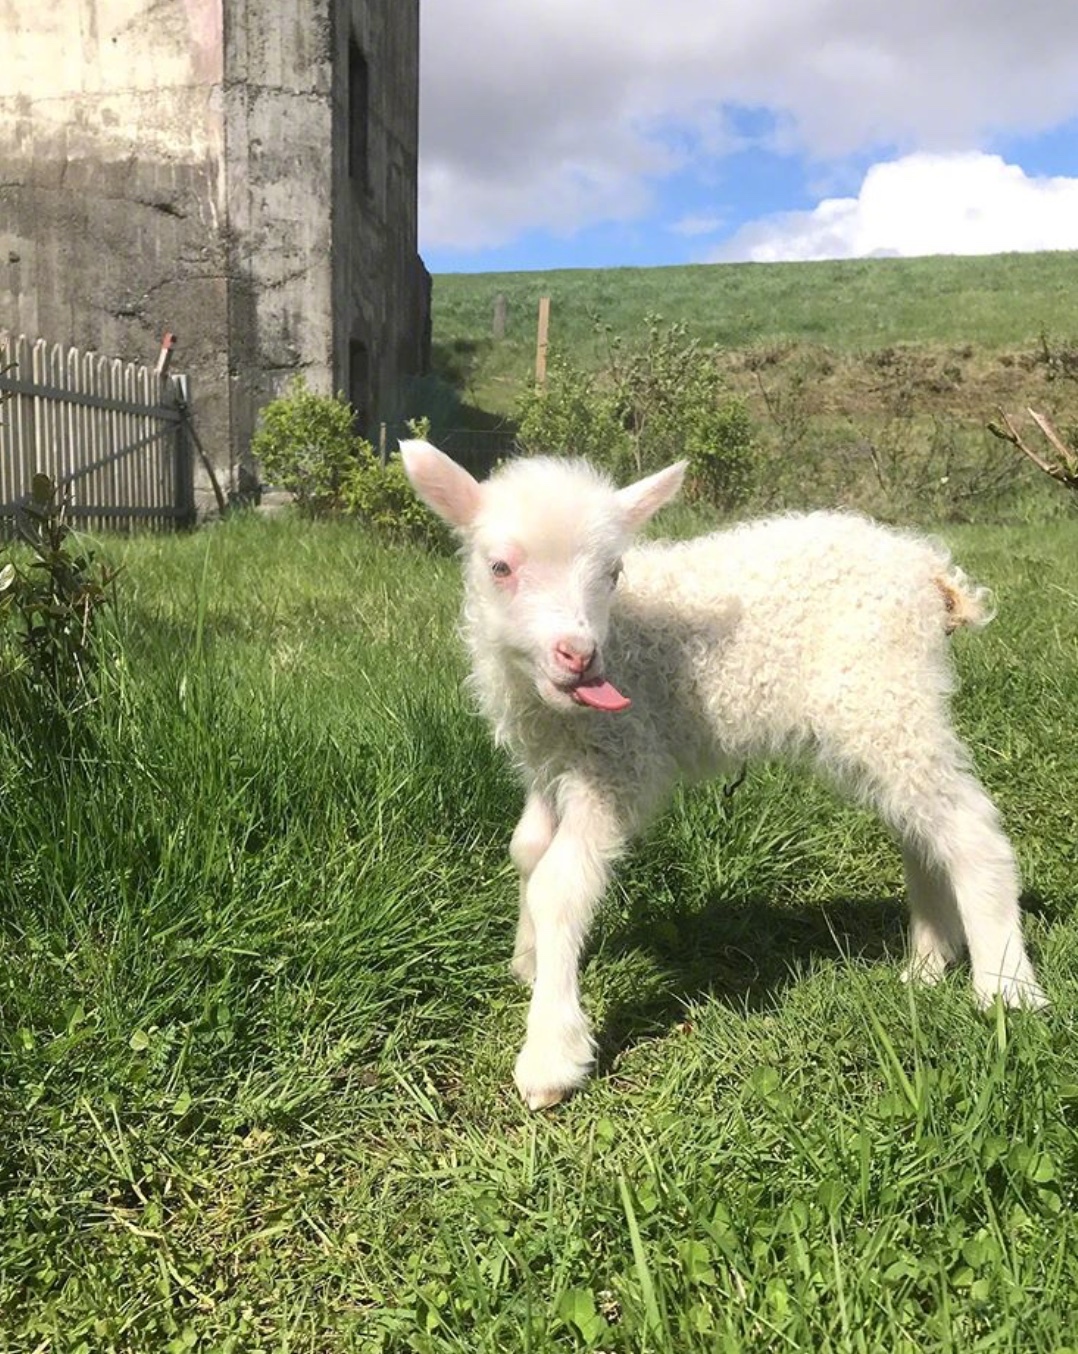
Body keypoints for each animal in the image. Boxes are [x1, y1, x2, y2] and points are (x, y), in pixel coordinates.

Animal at [398, 438, 1045, 1104]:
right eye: (500, 567)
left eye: (613, 572)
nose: (579, 656)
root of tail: (925, 568)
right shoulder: (550, 760)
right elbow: (528, 849)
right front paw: (529, 961)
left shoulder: (618, 760)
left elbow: (559, 884)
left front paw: (550, 1052)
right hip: (886, 712)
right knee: (920, 827)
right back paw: (928, 962)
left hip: (885, 697)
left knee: (970, 828)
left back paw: (1006, 988)